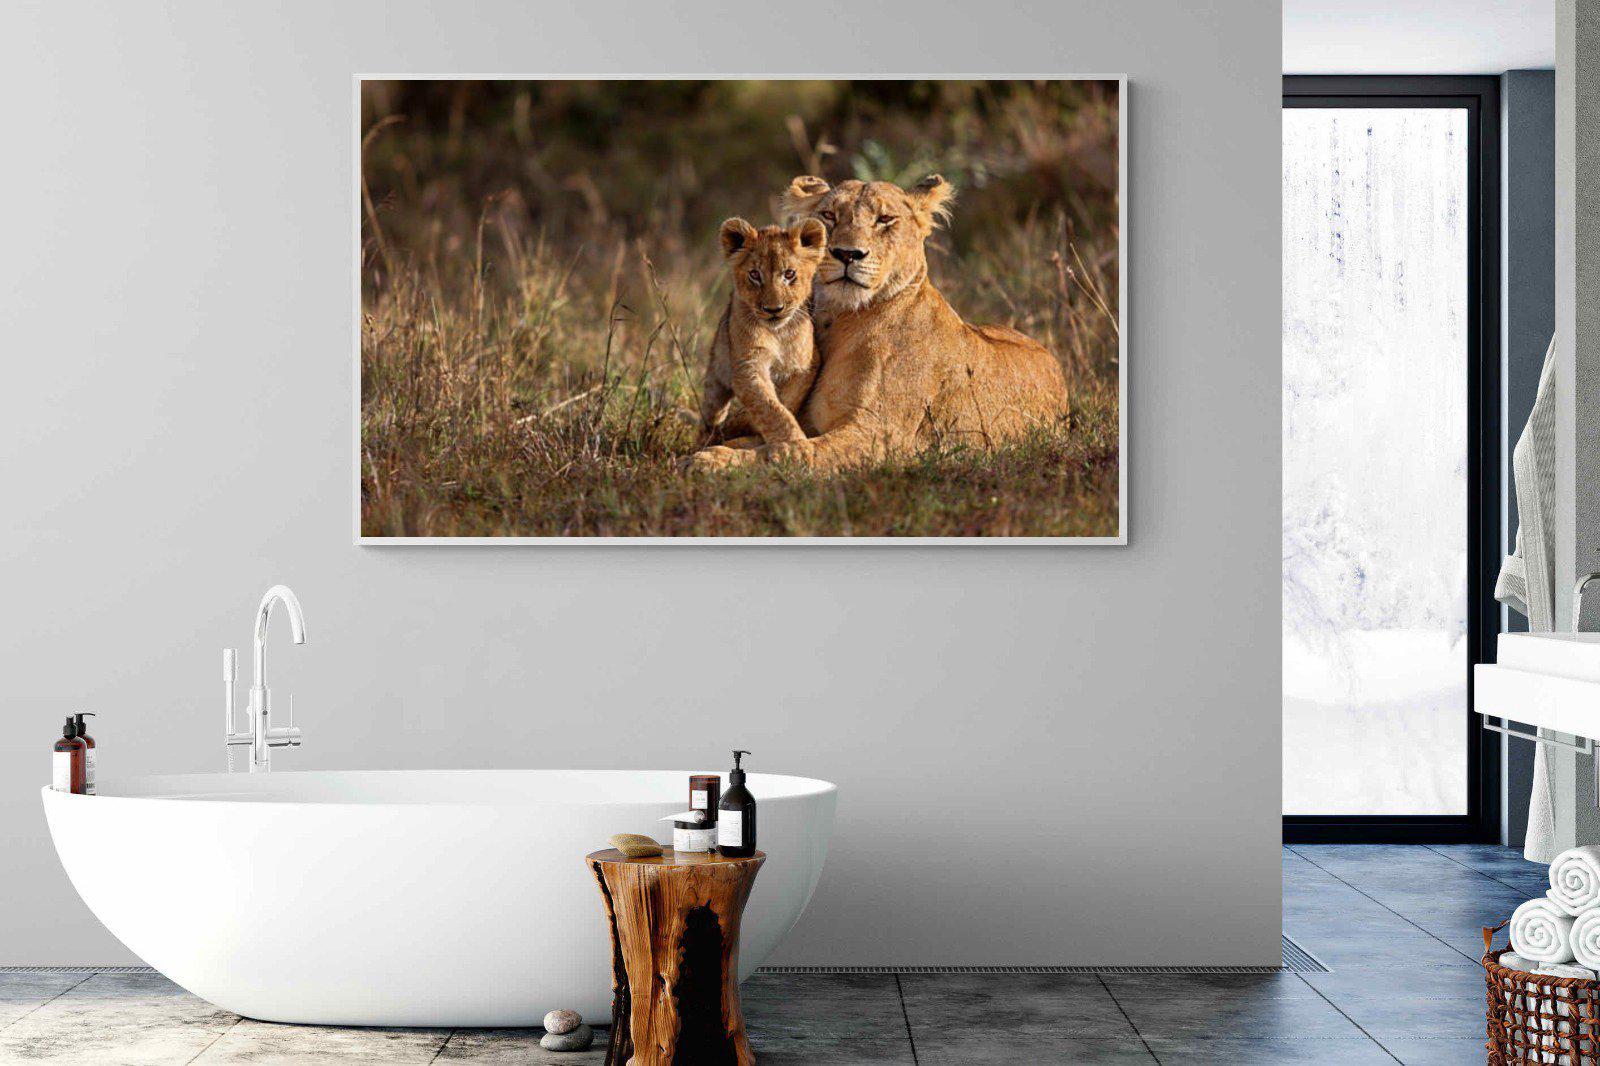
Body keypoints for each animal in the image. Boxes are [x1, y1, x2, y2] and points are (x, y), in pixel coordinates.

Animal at [697, 217, 829, 450]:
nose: (773, 309)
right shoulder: (748, 364)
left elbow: (786, 400)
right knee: (710, 413)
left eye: (789, 274)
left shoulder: (806, 364)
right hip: (716, 374)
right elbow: (769, 407)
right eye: (755, 275)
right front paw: (794, 443)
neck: (779, 333)